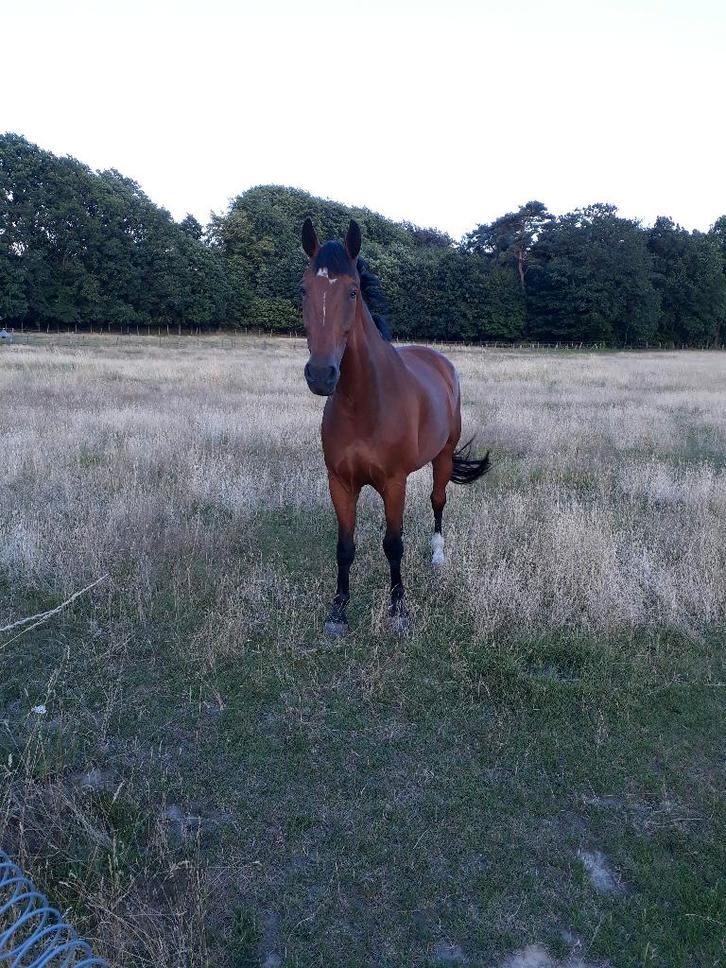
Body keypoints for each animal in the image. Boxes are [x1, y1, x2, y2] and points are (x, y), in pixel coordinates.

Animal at [300, 218, 490, 634]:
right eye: (304, 289)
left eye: (353, 291)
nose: (321, 375)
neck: (364, 403)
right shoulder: (340, 483)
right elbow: (345, 546)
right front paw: (338, 611)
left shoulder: (393, 482)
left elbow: (393, 544)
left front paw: (399, 610)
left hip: (444, 456)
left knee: (438, 500)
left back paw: (437, 556)